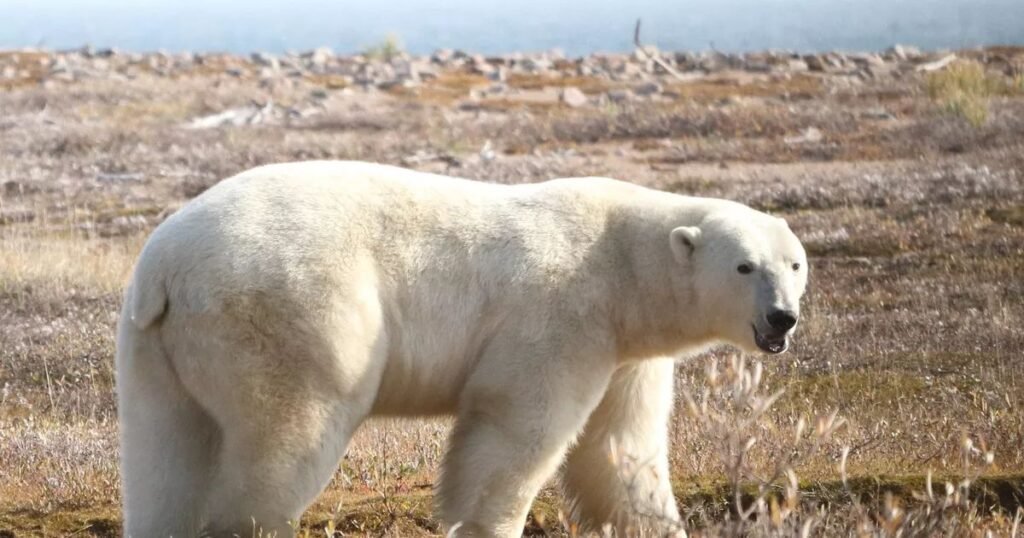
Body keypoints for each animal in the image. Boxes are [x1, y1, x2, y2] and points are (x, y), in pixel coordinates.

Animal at [116, 160, 808, 537]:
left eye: (795, 263)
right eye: (745, 266)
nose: (783, 317)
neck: (621, 263)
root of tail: (166, 269)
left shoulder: (627, 350)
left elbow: (620, 449)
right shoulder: (560, 315)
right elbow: (517, 428)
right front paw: (489, 524)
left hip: (156, 349)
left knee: (166, 456)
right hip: (290, 314)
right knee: (287, 434)